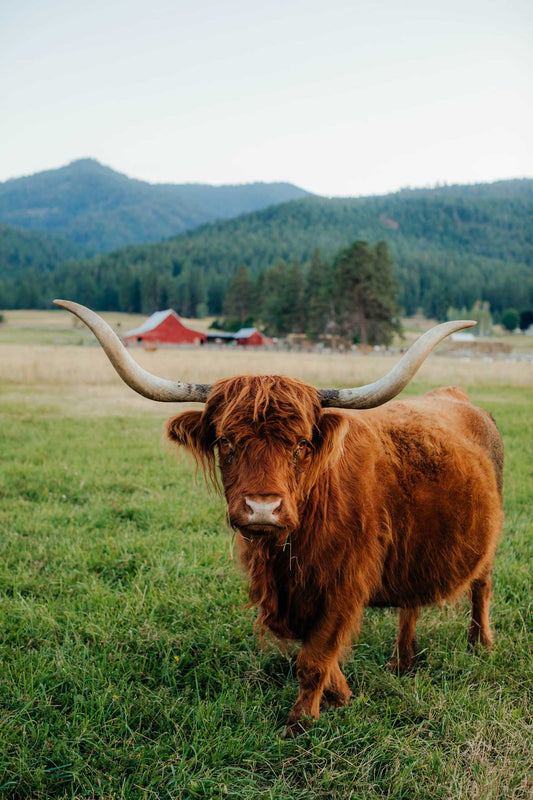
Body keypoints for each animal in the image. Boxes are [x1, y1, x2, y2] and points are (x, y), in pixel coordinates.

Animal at [54, 302, 502, 736]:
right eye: (225, 441)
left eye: (301, 444)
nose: (262, 508)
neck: (288, 553)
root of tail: (458, 396)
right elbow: (316, 650)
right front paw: (342, 696)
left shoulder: (344, 584)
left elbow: (314, 659)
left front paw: (301, 722)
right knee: (410, 605)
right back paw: (401, 661)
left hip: (488, 544)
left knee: (481, 587)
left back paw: (480, 644)